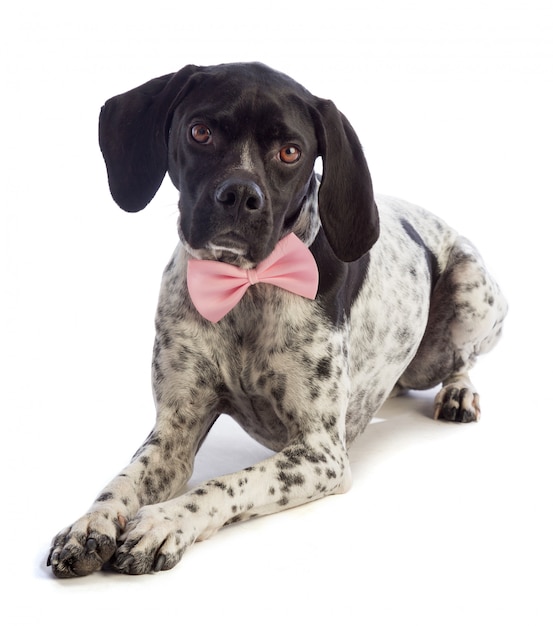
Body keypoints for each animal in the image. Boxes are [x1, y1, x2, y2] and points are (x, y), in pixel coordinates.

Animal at [46, 62, 504, 576]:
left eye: (290, 151)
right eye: (200, 132)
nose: (240, 194)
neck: (246, 290)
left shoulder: (321, 453)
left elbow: (227, 483)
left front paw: (164, 521)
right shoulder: (174, 433)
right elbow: (121, 481)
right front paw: (91, 522)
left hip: (469, 290)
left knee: (463, 360)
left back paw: (459, 393)